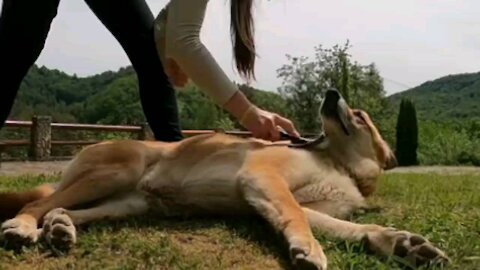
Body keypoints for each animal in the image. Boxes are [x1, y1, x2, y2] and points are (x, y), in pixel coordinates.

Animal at [0, 89, 450, 268]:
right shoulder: (264, 179)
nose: (331, 92)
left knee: (62, 208)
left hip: (127, 203)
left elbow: (349, 228)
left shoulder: (298, 204)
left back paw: (59, 228)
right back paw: (24, 226)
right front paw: (308, 248)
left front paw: (402, 244)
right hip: (116, 170)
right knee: (35, 203)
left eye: (359, 116)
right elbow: (296, 216)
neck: (339, 163)